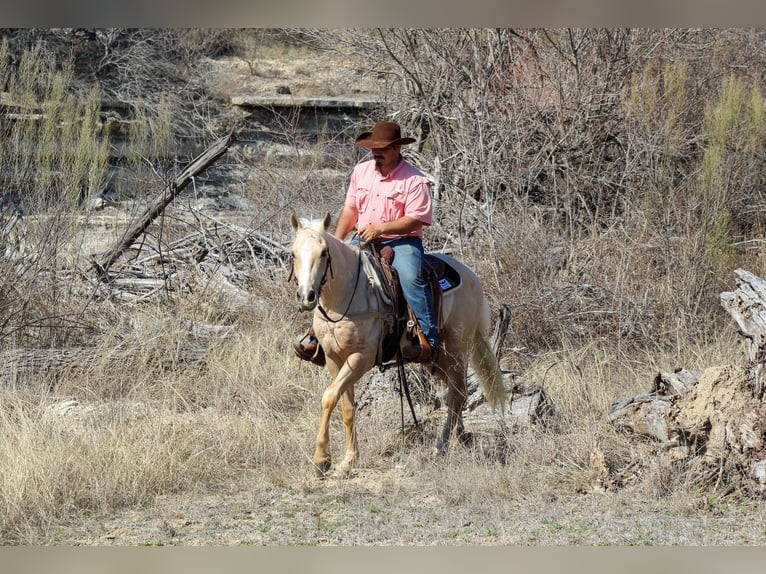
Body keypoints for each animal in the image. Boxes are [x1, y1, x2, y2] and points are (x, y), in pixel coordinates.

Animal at [292, 212, 508, 476]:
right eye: (293, 253)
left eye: (324, 252)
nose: (307, 297)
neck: (345, 298)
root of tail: (471, 277)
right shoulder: (335, 358)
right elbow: (345, 406)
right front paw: (348, 460)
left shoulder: (361, 357)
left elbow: (329, 397)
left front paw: (321, 459)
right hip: (436, 360)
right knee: (458, 392)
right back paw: (460, 435)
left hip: (457, 349)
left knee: (456, 394)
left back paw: (442, 445)